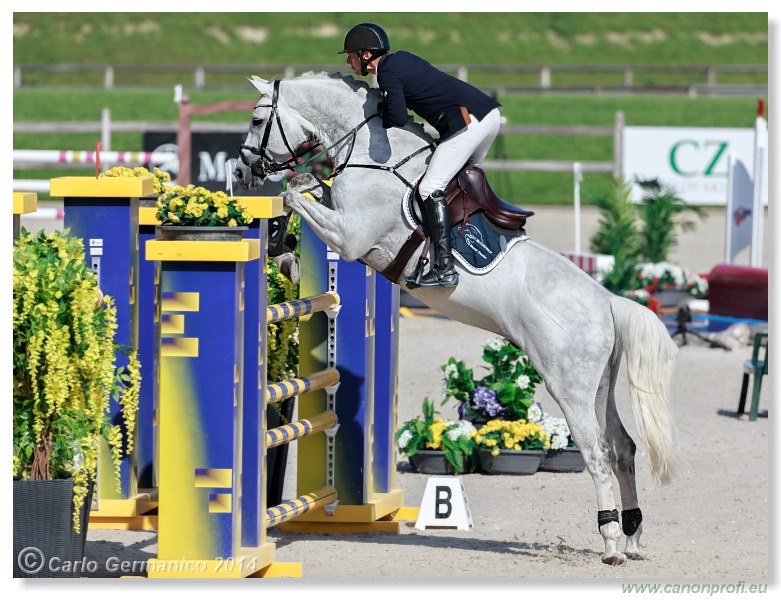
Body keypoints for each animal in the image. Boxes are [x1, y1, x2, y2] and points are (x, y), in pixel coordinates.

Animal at [232, 71, 676, 568]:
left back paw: (612, 543)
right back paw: (634, 537)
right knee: (623, 449)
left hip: (570, 386)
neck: (371, 154)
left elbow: (296, 191)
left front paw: (283, 244)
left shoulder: (349, 237)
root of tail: (607, 301)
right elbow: (306, 187)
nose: (242, 172)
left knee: (598, 455)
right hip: (599, 386)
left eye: (256, 120)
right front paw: (284, 253)